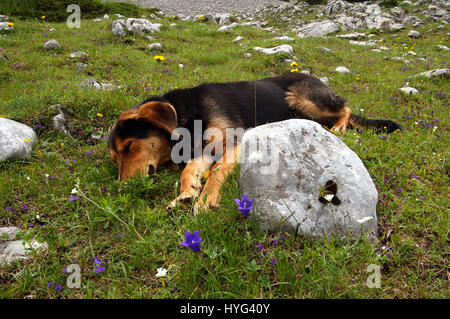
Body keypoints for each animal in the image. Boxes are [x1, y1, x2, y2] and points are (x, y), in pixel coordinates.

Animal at [108, 74, 400, 214]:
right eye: (115, 157)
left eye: (129, 146)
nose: (122, 189)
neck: (186, 115)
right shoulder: (205, 149)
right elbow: (189, 170)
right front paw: (185, 194)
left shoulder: (236, 140)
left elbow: (216, 171)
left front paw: (206, 199)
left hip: (302, 96)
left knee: (346, 107)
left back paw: (340, 127)